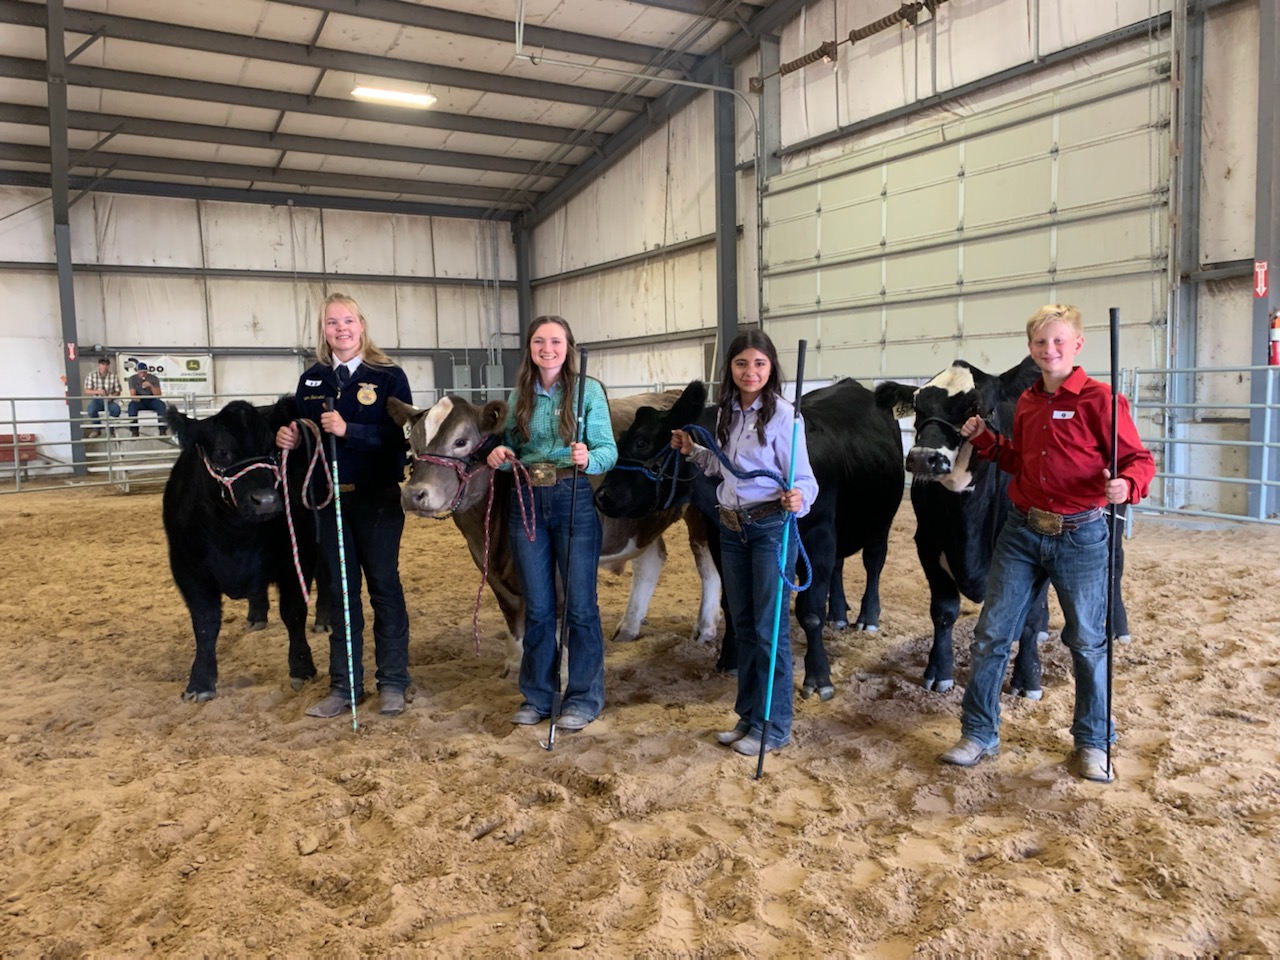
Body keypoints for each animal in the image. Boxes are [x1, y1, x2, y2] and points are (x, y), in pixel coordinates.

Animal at [163, 399, 320, 701]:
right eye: (222, 452)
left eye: (272, 450)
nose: (267, 501)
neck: (234, 537)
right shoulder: (186, 569)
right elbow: (205, 623)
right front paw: (200, 682)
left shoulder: (299, 557)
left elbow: (293, 613)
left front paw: (302, 668)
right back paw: (256, 615)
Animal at [387, 391, 720, 678]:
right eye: (412, 443)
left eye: (460, 441)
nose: (413, 495)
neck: (488, 534)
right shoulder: (489, 569)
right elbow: (513, 615)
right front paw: (514, 666)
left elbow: (558, 615)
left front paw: (559, 671)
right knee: (651, 559)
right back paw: (628, 626)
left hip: (698, 512)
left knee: (706, 565)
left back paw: (705, 628)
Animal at [595, 377, 906, 700]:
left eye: (641, 442)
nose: (601, 496)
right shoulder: (720, 541)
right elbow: (731, 604)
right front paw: (730, 659)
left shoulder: (818, 539)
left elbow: (810, 612)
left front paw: (818, 677)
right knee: (839, 565)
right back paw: (840, 614)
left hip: (881, 520)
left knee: (873, 562)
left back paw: (867, 618)